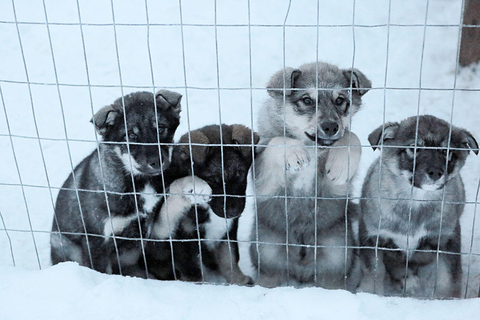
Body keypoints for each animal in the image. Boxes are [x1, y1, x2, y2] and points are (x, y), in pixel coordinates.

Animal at [50, 90, 182, 278]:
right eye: (131, 135)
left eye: (161, 128)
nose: (157, 162)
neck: (138, 182)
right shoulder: (98, 241)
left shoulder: (147, 229)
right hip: (64, 243)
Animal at [146, 123, 258, 284]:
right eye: (212, 179)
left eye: (240, 174)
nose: (232, 212)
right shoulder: (183, 235)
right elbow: (192, 269)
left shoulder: (228, 228)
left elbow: (229, 257)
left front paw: (238, 280)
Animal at [251, 61, 372, 288]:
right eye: (307, 100)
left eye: (340, 100)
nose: (331, 127)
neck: (312, 147)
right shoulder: (265, 181)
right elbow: (276, 141)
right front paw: (294, 152)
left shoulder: (335, 188)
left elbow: (352, 136)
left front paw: (340, 163)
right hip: (270, 263)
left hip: (334, 263)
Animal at [358, 114, 478, 298]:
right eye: (414, 149)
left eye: (447, 151)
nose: (435, 173)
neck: (415, 201)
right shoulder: (372, 237)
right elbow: (374, 272)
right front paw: (369, 292)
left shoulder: (447, 238)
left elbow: (449, 278)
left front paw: (446, 299)